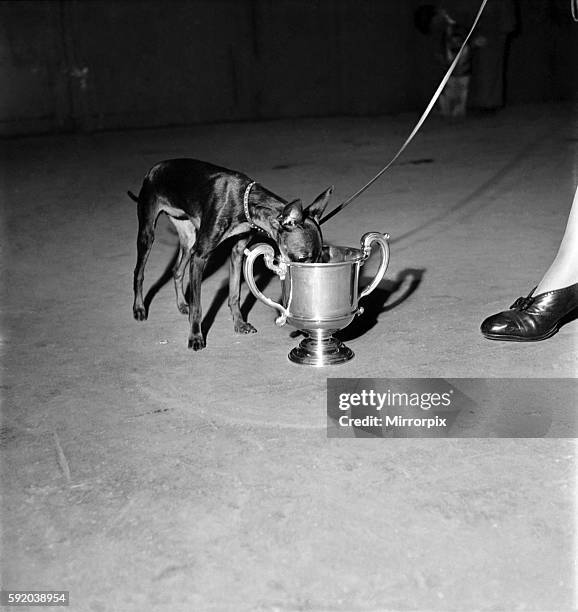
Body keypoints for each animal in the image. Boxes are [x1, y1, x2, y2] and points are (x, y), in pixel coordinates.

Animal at [128, 159, 330, 350]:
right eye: (302, 259)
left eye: (320, 258)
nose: (311, 284)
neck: (244, 202)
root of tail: (153, 169)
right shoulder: (200, 256)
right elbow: (198, 307)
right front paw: (195, 336)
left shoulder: (238, 252)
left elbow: (234, 294)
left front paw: (239, 324)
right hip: (148, 234)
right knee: (139, 272)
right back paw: (139, 308)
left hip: (188, 238)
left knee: (177, 270)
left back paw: (182, 304)